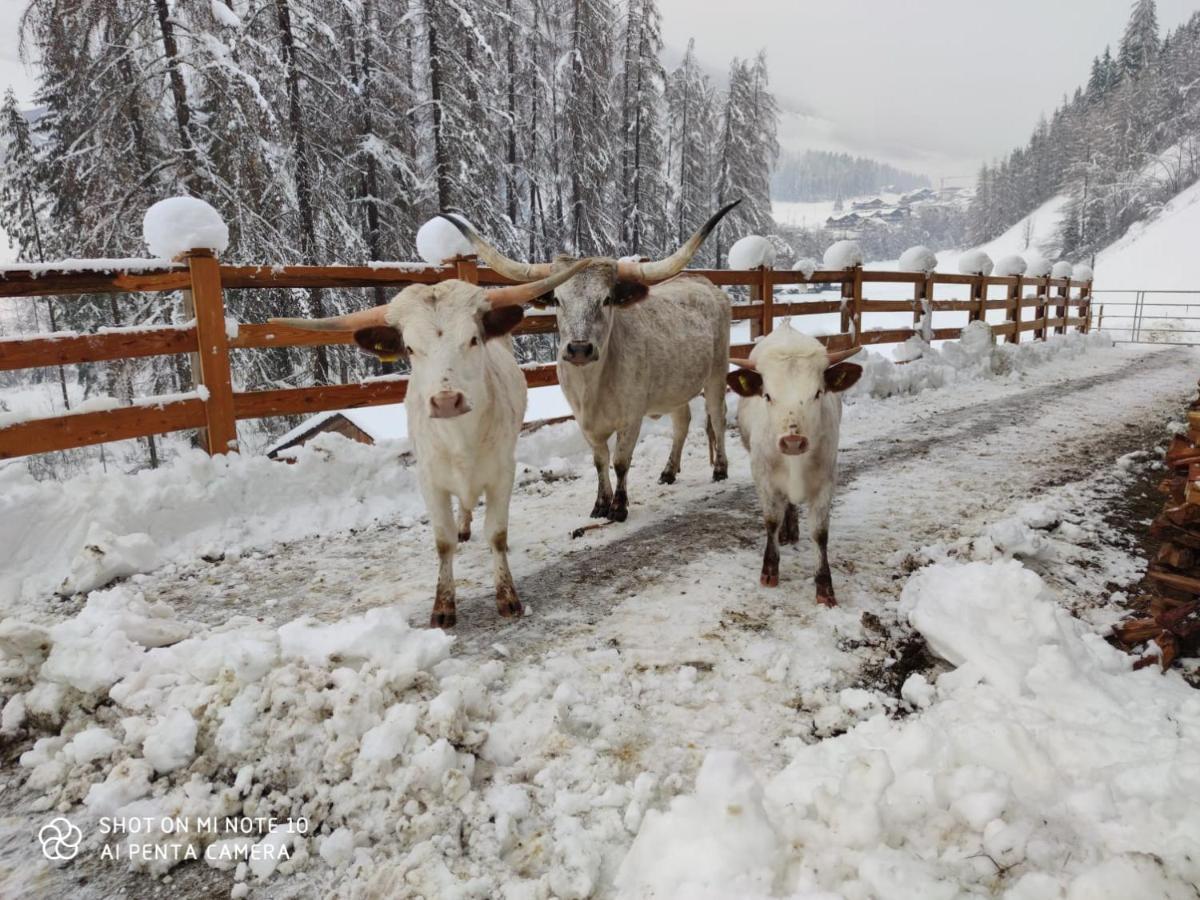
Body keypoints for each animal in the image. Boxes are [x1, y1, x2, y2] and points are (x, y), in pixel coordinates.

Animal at [272, 260, 590, 628]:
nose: (446, 401)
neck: (460, 438)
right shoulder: (430, 481)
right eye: (410, 348)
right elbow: (443, 541)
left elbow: (496, 534)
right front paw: (443, 606)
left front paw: (507, 597)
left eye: (473, 339)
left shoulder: (502, 474)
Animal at [441, 201, 739, 525]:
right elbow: (600, 461)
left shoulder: (631, 418)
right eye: (557, 300)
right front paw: (600, 504)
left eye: (607, 299)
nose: (580, 349)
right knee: (681, 423)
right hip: (675, 387)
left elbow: (620, 461)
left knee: (718, 417)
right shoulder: (584, 421)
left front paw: (619, 507)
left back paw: (720, 469)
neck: (593, 388)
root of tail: (702, 281)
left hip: (717, 373)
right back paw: (669, 472)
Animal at [720, 324, 864, 607]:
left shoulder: (826, 481)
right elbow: (771, 521)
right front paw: (769, 571)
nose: (793, 441)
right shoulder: (764, 479)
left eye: (817, 393)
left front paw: (825, 587)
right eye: (767, 395)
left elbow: (820, 533)